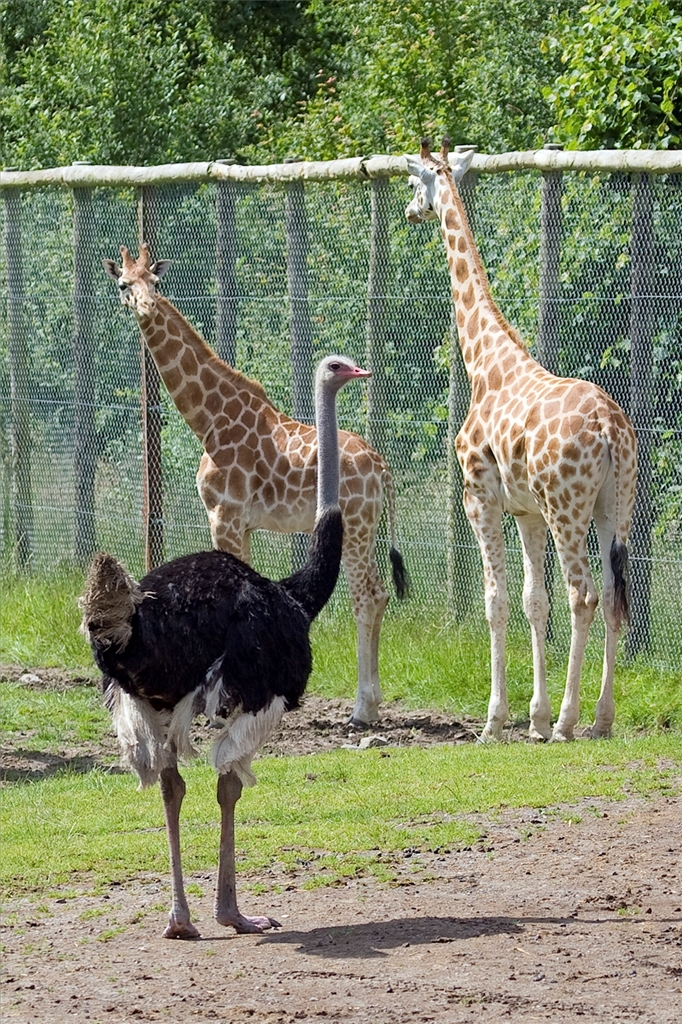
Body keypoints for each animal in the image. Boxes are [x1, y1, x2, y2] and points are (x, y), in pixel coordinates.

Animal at [102, 244, 406, 726]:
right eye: (123, 284)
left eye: (155, 281)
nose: (146, 306)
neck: (209, 421)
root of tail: (381, 466)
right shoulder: (241, 523)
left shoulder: (223, 515)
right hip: (369, 525)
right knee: (376, 596)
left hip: (357, 525)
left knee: (368, 596)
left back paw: (362, 709)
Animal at [405, 139, 637, 742]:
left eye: (414, 182)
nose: (412, 212)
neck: (485, 363)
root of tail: (610, 429)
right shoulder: (526, 511)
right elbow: (535, 601)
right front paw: (533, 716)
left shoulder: (480, 497)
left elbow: (497, 600)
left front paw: (496, 720)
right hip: (616, 504)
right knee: (613, 598)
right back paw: (600, 720)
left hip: (568, 508)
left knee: (584, 593)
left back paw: (570, 722)